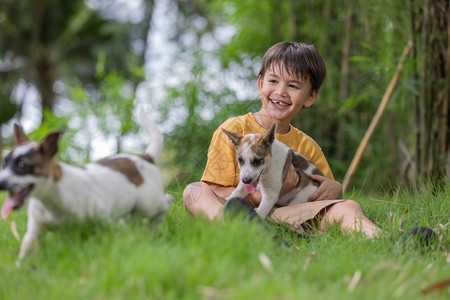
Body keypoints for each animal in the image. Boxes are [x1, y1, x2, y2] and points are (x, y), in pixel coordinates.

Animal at [0, 107, 171, 262]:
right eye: (4, 163)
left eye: (21, 165)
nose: (0, 182)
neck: (52, 199)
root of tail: (146, 157)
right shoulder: (34, 231)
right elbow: (25, 250)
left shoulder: (104, 221)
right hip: (131, 210)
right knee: (133, 221)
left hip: (148, 204)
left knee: (167, 202)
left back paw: (153, 227)